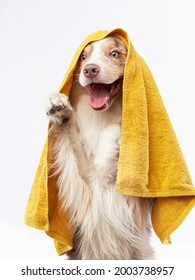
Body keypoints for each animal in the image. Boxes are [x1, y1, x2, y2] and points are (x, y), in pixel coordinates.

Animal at [45, 35, 154, 260]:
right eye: (83, 57)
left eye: (114, 53)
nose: (90, 70)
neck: (103, 114)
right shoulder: (83, 178)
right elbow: (69, 127)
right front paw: (57, 104)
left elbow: (117, 127)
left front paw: (104, 167)